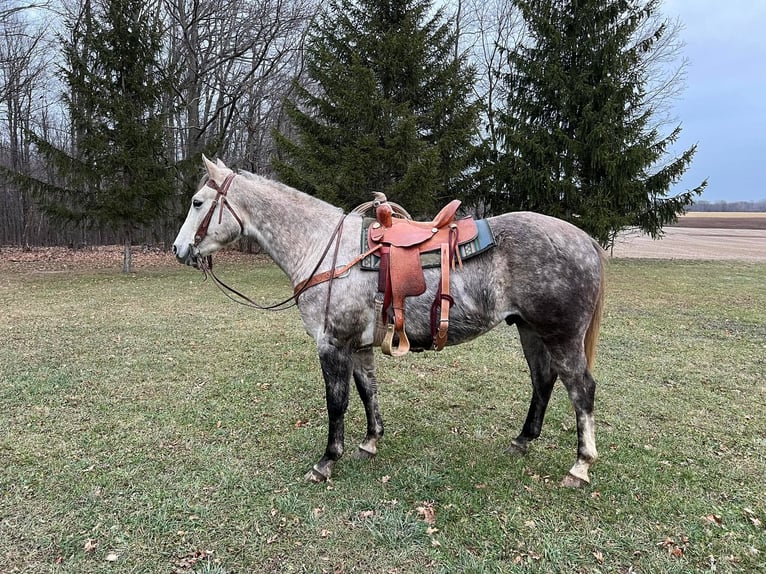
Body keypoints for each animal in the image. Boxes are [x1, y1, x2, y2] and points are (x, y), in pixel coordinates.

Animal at [172, 159, 608, 490]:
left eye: (197, 202)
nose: (179, 249)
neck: (324, 250)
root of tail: (584, 240)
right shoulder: (360, 345)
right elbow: (368, 391)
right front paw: (371, 441)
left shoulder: (332, 344)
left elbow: (337, 403)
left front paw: (326, 461)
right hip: (529, 329)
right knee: (543, 380)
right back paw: (522, 440)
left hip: (561, 335)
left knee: (581, 389)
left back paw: (580, 465)